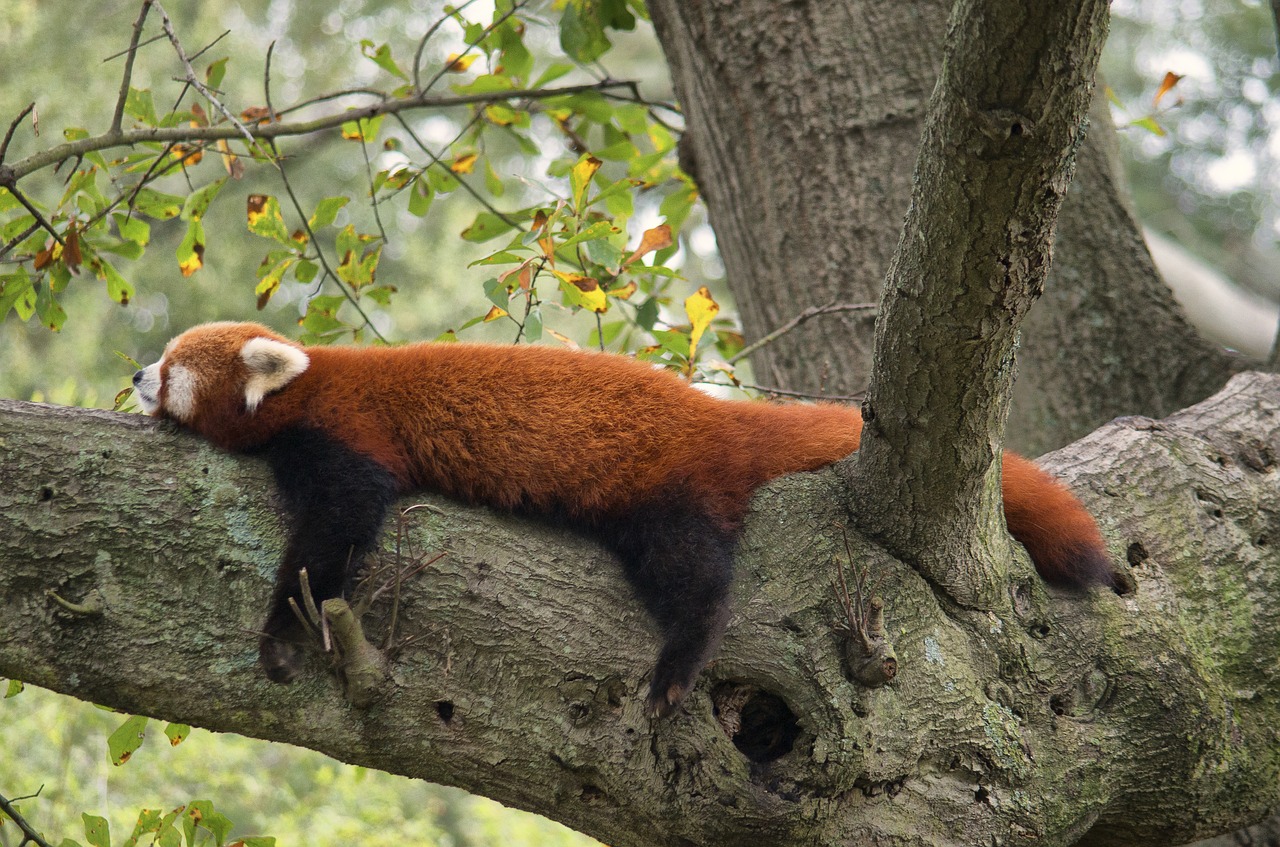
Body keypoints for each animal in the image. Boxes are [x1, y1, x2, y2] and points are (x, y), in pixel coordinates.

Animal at [132, 322, 1111, 721]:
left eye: (174, 362)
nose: (138, 373)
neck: (311, 380)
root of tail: (716, 418)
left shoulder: (345, 438)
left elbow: (333, 534)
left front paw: (279, 636)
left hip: (659, 494)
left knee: (694, 576)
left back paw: (680, 661)